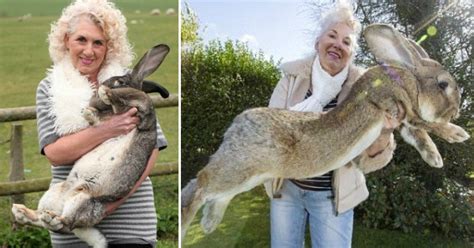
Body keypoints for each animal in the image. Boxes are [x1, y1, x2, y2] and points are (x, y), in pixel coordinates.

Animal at [11, 43, 171, 247]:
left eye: (120, 81)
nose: (101, 87)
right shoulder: (110, 119)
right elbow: (100, 118)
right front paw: (89, 110)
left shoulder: (141, 113)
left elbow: (127, 99)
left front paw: (103, 95)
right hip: (56, 195)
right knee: (51, 222)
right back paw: (22, 212)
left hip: (81, 201)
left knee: (64, 224)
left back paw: (42, 217)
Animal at [181, 23, 470, 238]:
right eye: (443, 84)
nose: (457, 109)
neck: (410, 81)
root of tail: (235, 127)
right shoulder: (399, 106)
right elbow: (427, 124)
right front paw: (458, 134)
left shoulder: (402, 120)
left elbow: (419, 136)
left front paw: (435, 158)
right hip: (240, 168)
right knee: (200, 184)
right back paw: (186, 224)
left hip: (247, 176)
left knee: (215, 193)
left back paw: (209, 223)